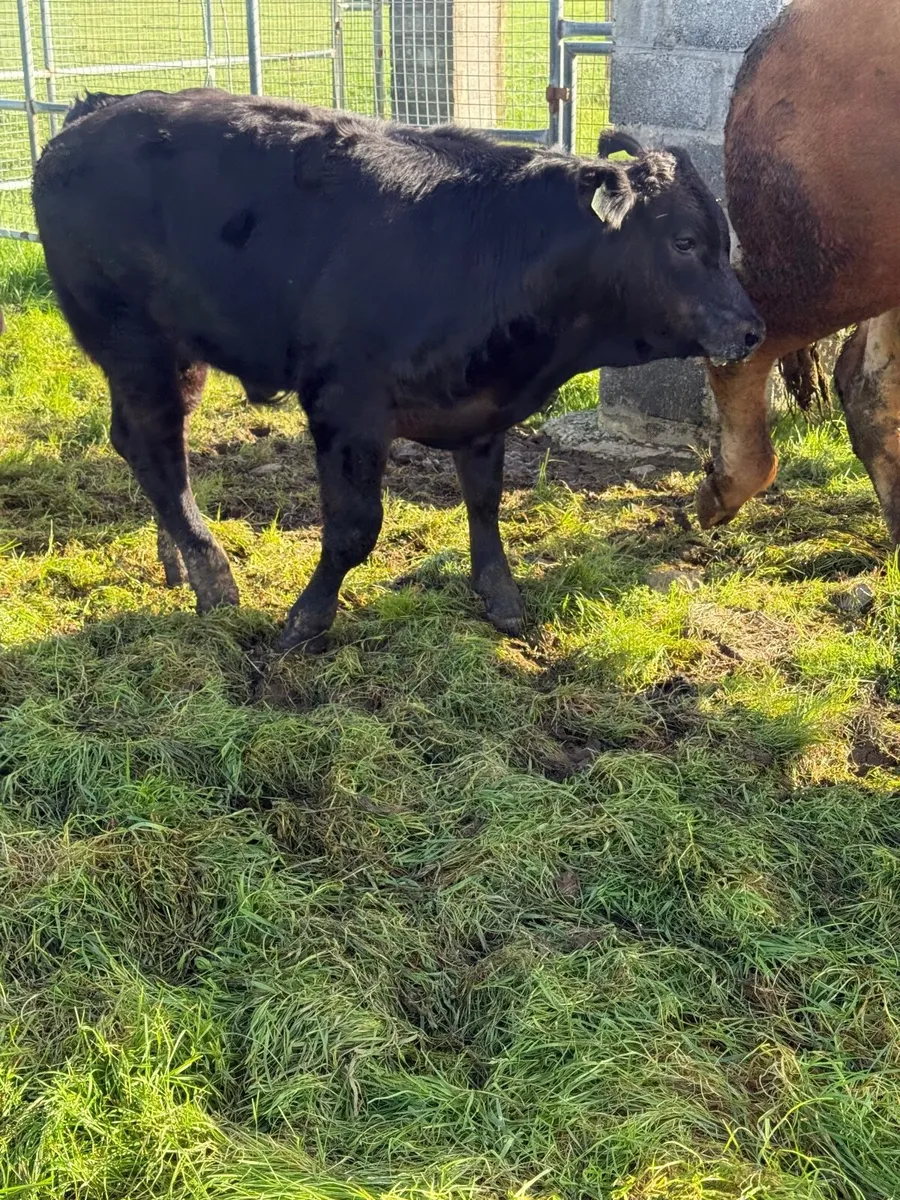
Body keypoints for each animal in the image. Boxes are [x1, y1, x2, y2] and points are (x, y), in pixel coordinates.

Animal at [33, 88, 763, 651]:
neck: (493, 247)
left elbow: (484, 503)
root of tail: (92, 116)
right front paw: (305, 621)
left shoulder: (482, 413)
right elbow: (354, 530)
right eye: (685, 241)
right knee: (157, 451)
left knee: (144, 447)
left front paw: (501, 598)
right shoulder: (344, 409)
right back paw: (213, 579)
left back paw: (178, 560)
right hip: (134, 344)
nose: (753, 328)